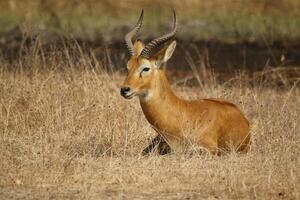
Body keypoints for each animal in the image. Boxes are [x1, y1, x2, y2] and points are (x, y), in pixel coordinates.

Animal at [120, 10, 250, 155]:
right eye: (128, 66)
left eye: (145, 68)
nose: (125, 89)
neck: (181, 114)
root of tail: (244, 119)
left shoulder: (208, 149)